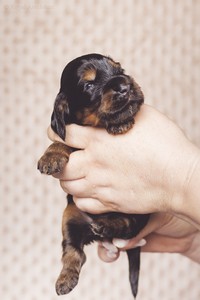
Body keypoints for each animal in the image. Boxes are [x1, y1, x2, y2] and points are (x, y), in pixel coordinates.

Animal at [38, 54, 150, 298]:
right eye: (88, 85)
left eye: (120, 70)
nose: (125, 86)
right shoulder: (72, 135)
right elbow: (60, 142)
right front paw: (51, 156)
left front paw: (121, 122)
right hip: (69, 216)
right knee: (74, 252)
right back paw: (65, 278)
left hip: (139, 210)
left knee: (127, 223)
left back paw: (106, 226)